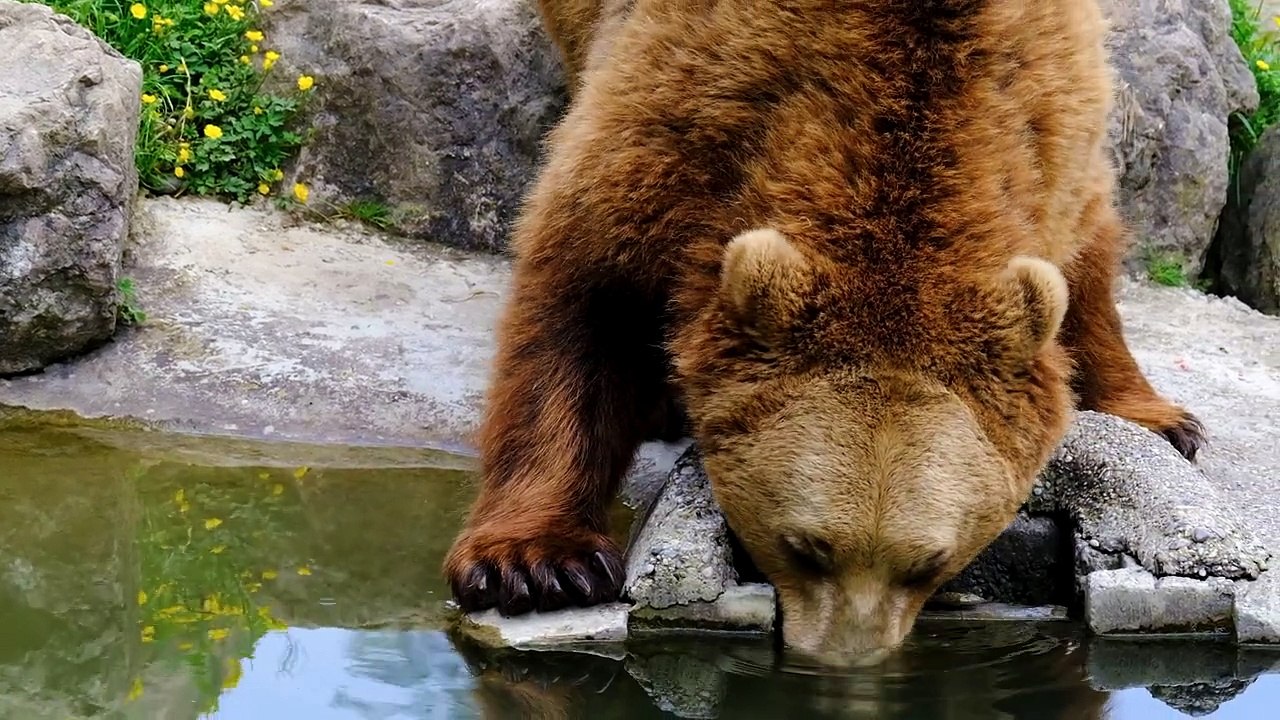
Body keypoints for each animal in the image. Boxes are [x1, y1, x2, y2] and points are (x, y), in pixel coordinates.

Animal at [444, 0, 1204, 661]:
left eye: (929, 562)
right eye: (803, 545)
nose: (843, 656)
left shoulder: (1049, 111)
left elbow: (1087, 261)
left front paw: (1164, 420)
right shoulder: (685, 107)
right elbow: (584, 290)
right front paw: (537, 565)